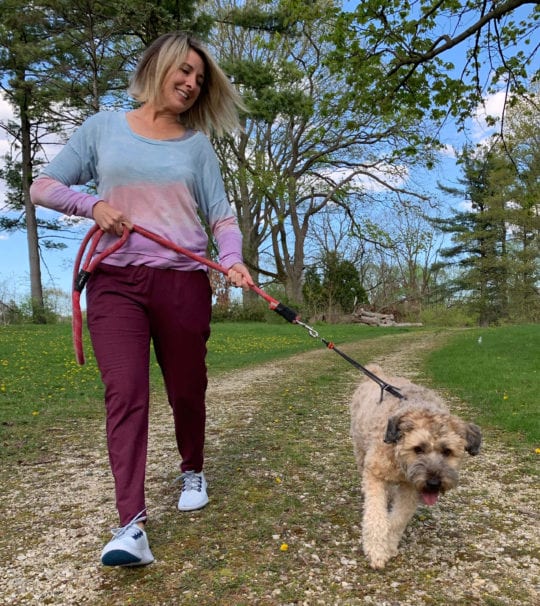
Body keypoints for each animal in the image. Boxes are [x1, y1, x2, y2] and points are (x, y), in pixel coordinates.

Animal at [350, 368, 480, 572]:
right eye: (418, 448)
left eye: (447, 451)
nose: (434, 483)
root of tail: (377, 372)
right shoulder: (374, 474)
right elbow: (376, 517)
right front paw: (376, 550)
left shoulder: (411, 489)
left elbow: (398, 519)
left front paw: (388, 545)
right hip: (360, 449)